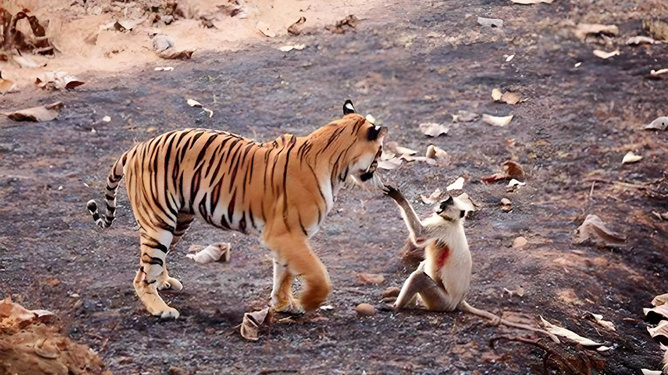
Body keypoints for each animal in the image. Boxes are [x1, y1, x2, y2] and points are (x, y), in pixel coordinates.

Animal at [85, 100, 386, 320]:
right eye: (380, 151)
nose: (380, 174)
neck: (335, 164)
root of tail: (136, 148)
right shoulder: (287, 235)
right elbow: (319, 276)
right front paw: (306, 302)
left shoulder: (288, 238)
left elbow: (284, 275)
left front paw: (282, 304)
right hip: (159, 223)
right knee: (141, 275)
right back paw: (161, 309)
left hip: (178, 220)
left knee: (153, 263)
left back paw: (165, 282)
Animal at [380, 186, 560, 344]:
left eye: (445, 205)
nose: (439, 207)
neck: (453, 222)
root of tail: (459, 301)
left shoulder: (443, 226)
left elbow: (419, 236)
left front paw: (399, 197)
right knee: (421, 268)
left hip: (441, 302)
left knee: (419, 277)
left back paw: (397, 307)